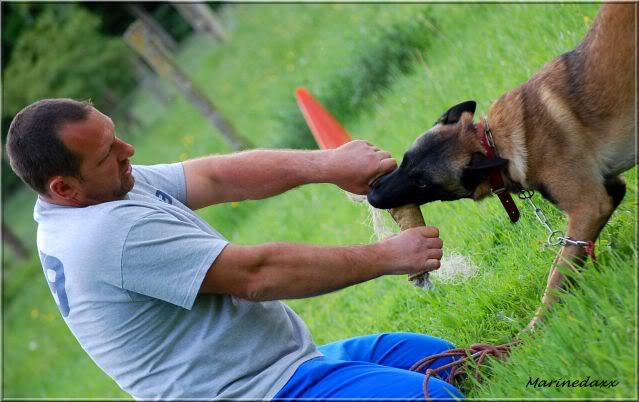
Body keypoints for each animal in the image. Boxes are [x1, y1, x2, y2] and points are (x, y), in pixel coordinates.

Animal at [368, 1, 636, 332]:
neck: (493, 142)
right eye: (405, 161)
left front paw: (535, 328)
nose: (371, 195)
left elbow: (556, 273)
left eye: (423, 183)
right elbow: (571, 260)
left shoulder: (589, 206)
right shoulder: (609, 191)